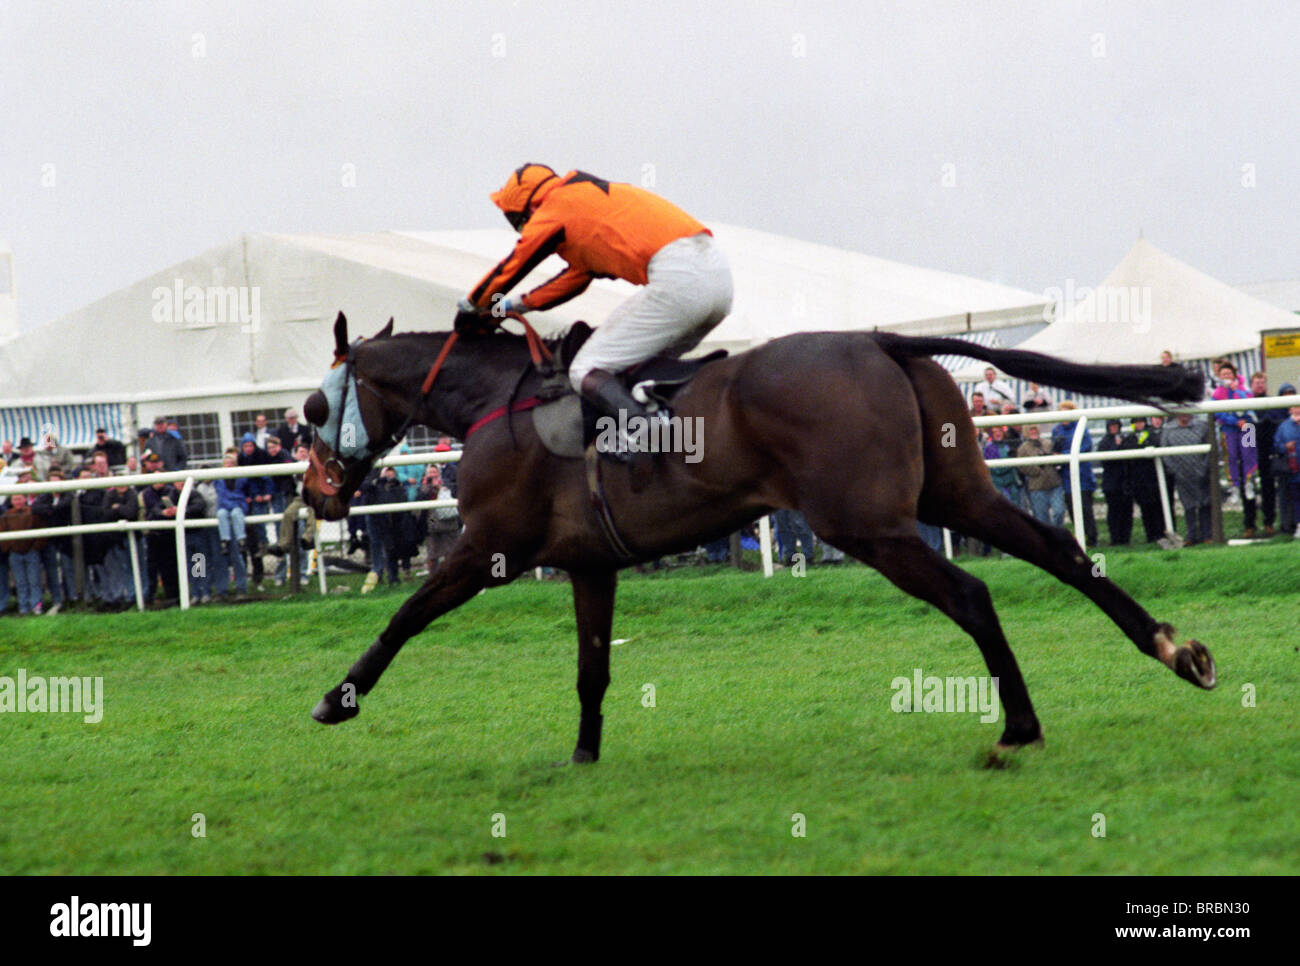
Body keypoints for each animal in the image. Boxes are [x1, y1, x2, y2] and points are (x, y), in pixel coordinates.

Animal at [301, 315, 1216, 764]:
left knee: (970, 593)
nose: (315, 494)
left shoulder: (488, 549)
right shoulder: (591, 565)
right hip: (959, 495)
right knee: (1063, 552)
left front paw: (339, 697)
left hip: (868, 523)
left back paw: (1019, 725)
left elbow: (405, 617)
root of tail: (883, 340)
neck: (500, 404)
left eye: (311, 409)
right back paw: (1176, 650)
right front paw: (585, 757)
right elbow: (593, 669)